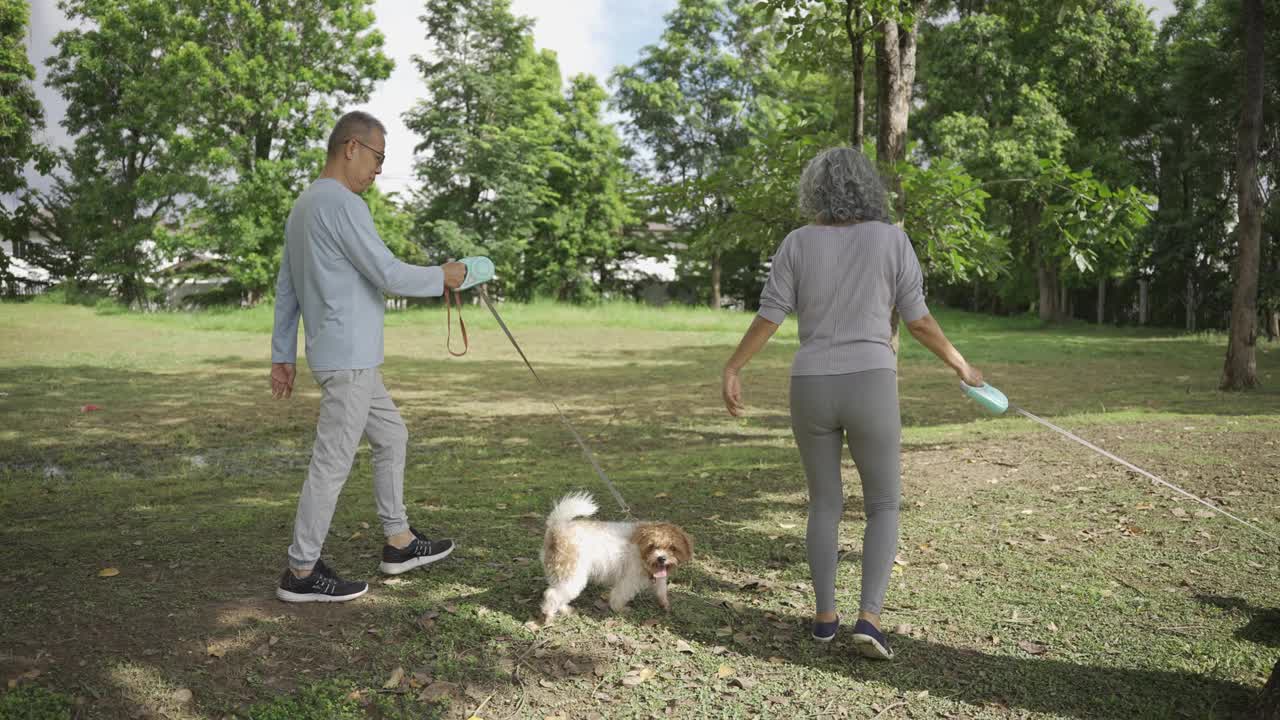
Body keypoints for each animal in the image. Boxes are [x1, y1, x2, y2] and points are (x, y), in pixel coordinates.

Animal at [542, 486, 696, 622]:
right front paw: (620, 610)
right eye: (652, 546)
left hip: (560, 574)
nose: (661, 558)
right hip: (573, 577)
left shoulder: (657, 576)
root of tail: (558, 527)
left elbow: (661, 590)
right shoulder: (629, 580)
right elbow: (619, 596)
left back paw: (564, 610)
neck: (641, 550)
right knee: (552, 594)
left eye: (672, 548)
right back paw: (548, 615)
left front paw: (665, 605)